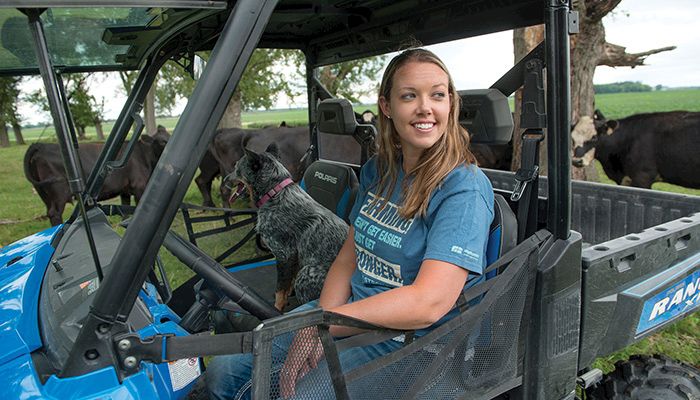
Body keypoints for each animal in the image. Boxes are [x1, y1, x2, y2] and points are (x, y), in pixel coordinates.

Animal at [24, 134, 168, 227]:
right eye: (161, 141)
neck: (145, 155)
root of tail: (40, 145)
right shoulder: (139, 186)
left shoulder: (125, 190)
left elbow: (125, 207)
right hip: (58, 192)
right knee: (54, 213)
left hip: (44, 194)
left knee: (50, 212)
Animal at [228, 145, 348, 310]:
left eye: (236, 168)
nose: (225, 180)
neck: (275, 193)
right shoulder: (293, 256)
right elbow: (287, 283)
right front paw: (287, 294)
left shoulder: (284, 254)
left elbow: (280, 288)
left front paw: (278, 308)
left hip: (306, 274)